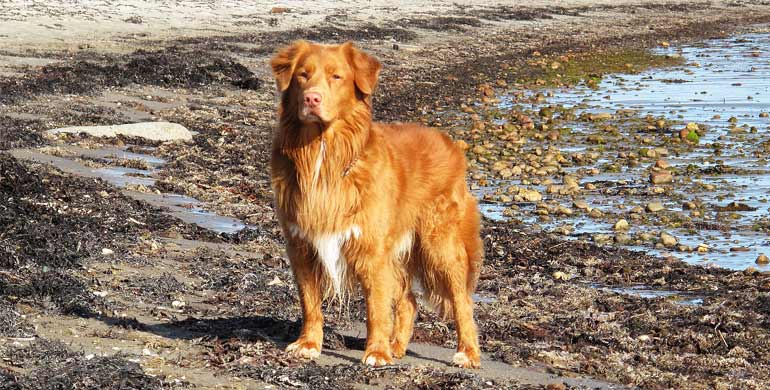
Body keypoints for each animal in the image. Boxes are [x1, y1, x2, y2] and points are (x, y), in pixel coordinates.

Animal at [270, 41, 484, 368]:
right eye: (302, 76)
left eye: (336, 76)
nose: (311, 98)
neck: (323, 155)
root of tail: (449, 142)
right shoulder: (301, 245)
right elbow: (310, 302)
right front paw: (308, 343)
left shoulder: (372, 250)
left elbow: (376, 308)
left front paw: (377, 352)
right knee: (409, 301)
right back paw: (397, 346)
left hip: (440, 245)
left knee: (463, 301)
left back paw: (467, 352)